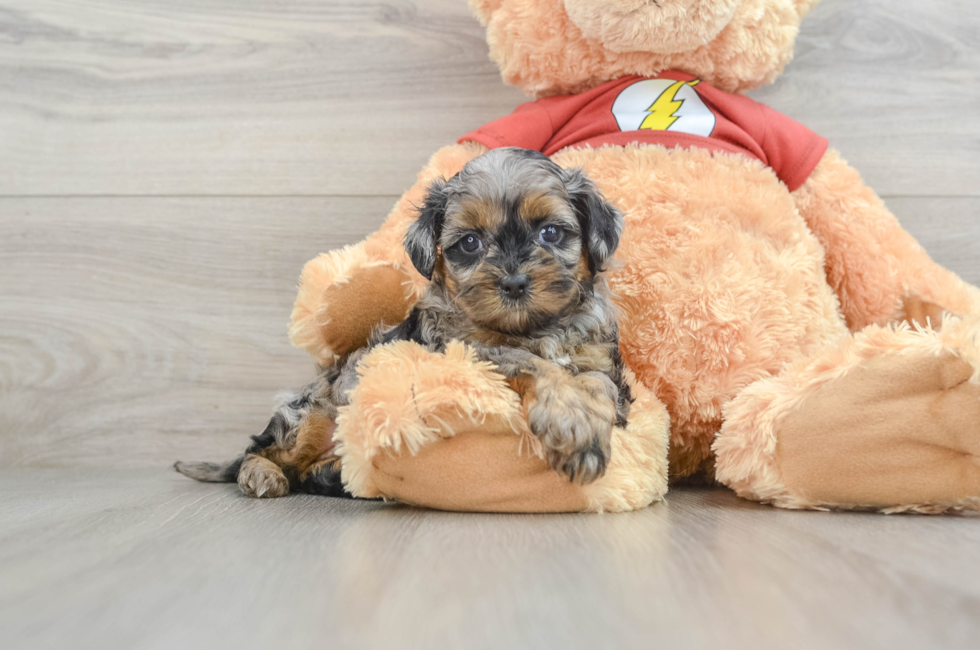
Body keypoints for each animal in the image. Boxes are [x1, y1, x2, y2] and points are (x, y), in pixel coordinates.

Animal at [175, 148, 628, 496]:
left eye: (550, 232)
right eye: (470, 243)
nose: (514, 283)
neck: (534, 328)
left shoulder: (601, 360)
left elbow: (594, 382)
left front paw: (582, 426)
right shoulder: (469, 352)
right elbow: (533, 363)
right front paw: (571, 424)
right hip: (309, 412)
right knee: (261, 450)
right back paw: (260, 474)